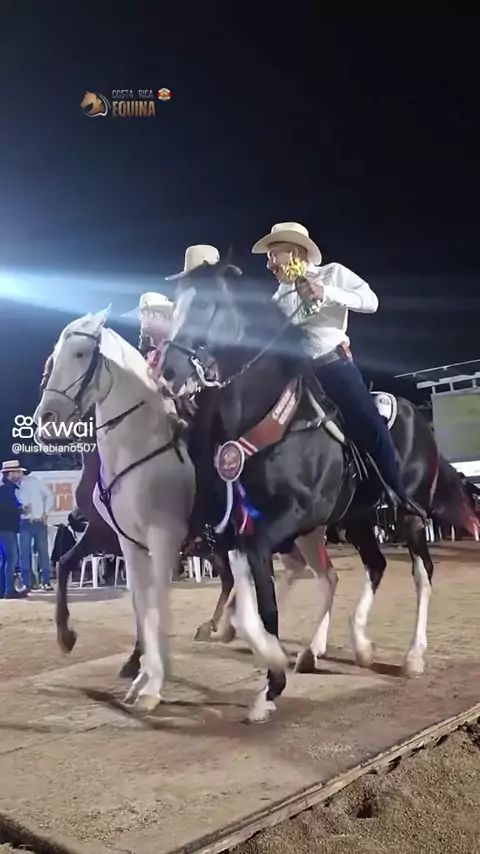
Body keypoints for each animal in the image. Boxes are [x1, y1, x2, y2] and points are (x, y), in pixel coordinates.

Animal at [34, 308, 196, 711]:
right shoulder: (121, 539)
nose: (46, 420)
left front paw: (153, 680)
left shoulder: (163, 537)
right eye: (52, 358)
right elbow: (134, 597)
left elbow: (156, 600)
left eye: (80, 354)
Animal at [161, 256, 477, 723]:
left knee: (422, 574)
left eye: (204, 304)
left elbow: (263, 601)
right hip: (357, 518)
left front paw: (270, 683)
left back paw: (412, 657)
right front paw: (261, 661)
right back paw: (349, 647)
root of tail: (417, 418)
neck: (275, 415)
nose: (167, 371)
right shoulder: (244, 522)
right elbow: (249, 595)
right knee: (375, 566)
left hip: (408, 517)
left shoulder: (294, 515)